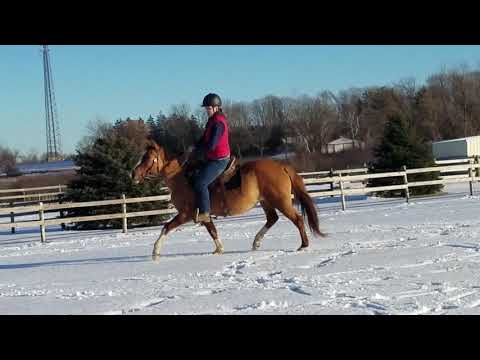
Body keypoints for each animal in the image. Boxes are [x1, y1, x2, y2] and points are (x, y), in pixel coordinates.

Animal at [131, 141, 326, 262]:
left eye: (147, 158)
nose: (133, 175)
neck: (181, 178)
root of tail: (281, 166)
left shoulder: (186, 214)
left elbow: (166, 227)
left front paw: (155, 252)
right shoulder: (204, 215)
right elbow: (212, 231)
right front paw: (219, 249)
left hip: (281, 201)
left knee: (297, 219)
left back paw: (303, 245)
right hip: (266, 202)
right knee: (272, 219)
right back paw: (256, 242)